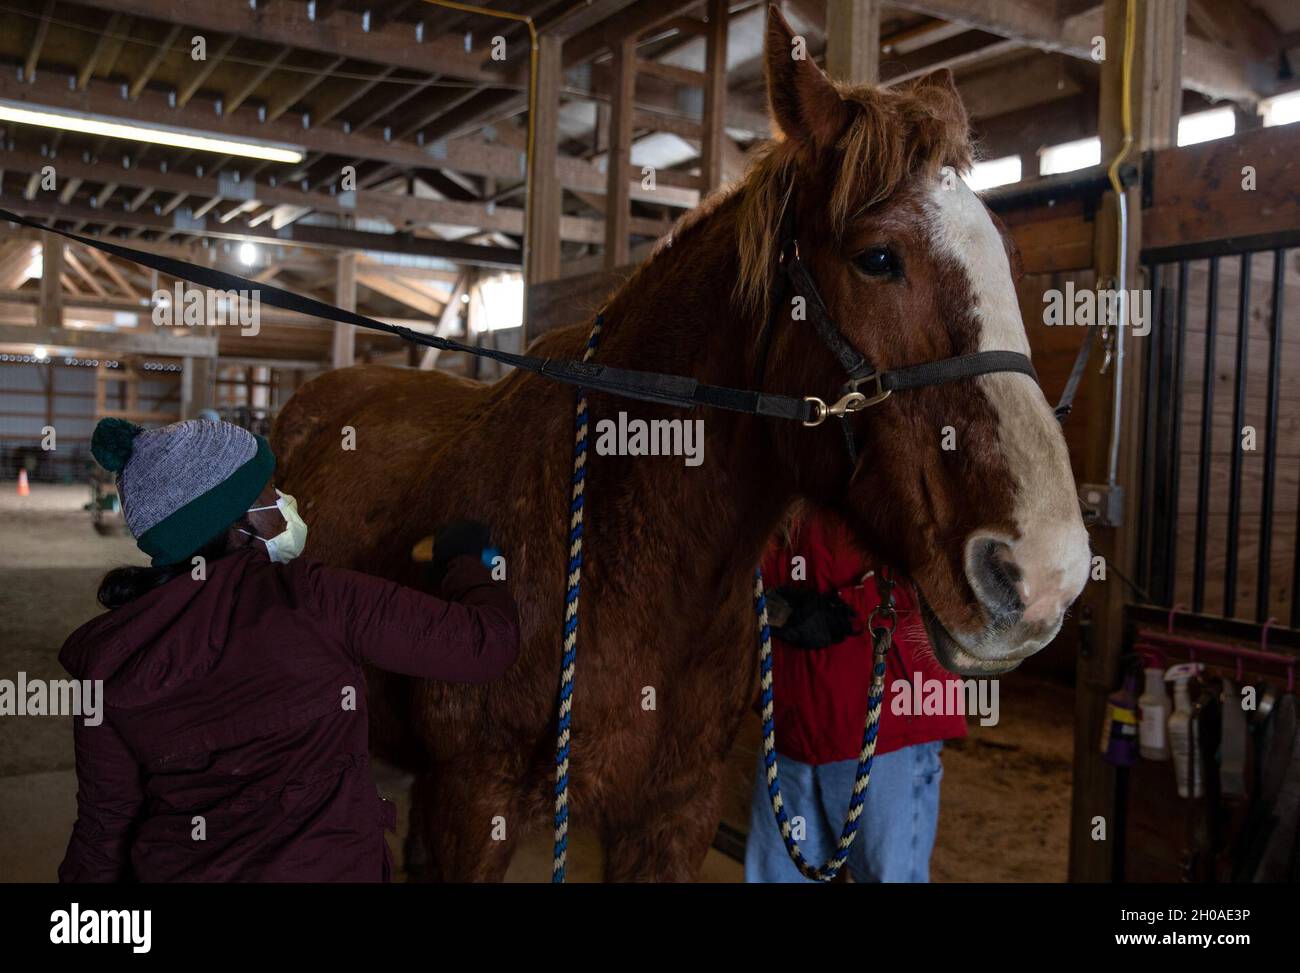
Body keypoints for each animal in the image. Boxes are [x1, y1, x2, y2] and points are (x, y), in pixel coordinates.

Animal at [274, 7, 1086, 884]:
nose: (1046, 572)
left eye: (1008, 259)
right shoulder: (469, 807)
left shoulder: (672, 814)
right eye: (877, 257)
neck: (628, 567)